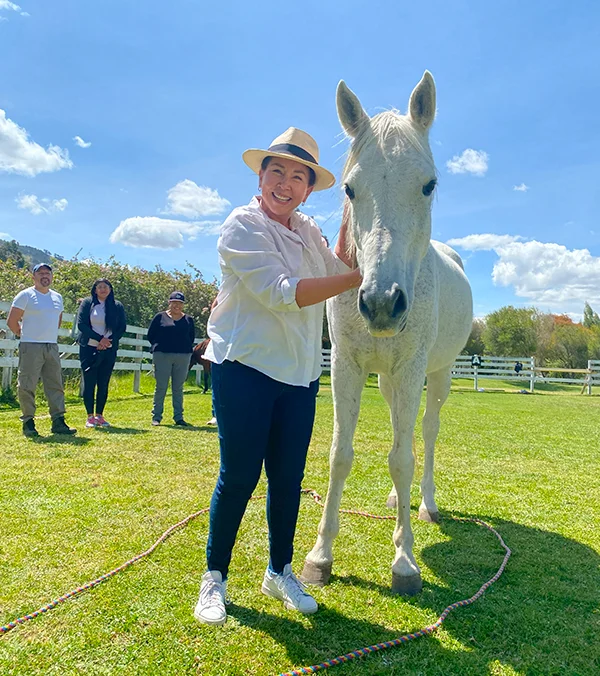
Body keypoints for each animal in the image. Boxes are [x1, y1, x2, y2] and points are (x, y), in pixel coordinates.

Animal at [301, 72, 473, 595]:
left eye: (428, 185)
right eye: (351, 189)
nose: (381, 303)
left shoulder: (411, 369)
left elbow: (403, 459)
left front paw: (404, 560)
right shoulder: (346, 367)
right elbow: (340, 455)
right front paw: (320, 556)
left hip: (436, 376)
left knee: (427, 435)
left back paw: (426, 505)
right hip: (387, 380)